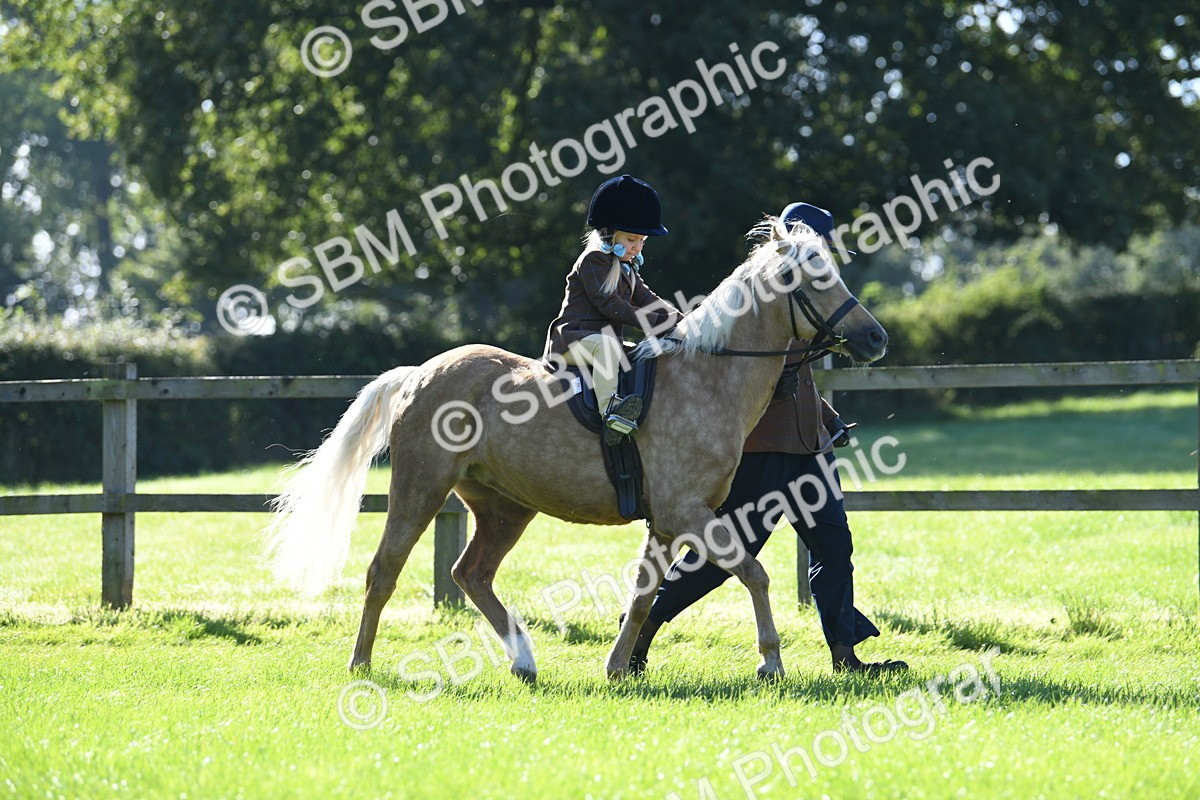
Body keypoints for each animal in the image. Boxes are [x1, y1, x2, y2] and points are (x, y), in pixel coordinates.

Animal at [263, 217, 888, 682]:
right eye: (814, 276)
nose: (876, 337)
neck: (711, 376)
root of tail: (419, 374)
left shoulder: (669, 523)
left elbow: (644, 595)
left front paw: (616, 668)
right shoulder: (688, 514)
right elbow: (754, 574)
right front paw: (771, 662)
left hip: (504, 506)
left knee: (471, 574)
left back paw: (523, 659)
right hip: (421, 489)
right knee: (384, 571)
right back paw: (362, 665)